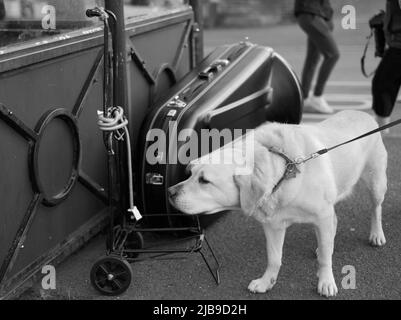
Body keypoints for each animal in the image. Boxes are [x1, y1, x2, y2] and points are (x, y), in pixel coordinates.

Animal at [167, 110, 386, 298]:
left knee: (375, 209)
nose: (169, 192)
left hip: (376, 183)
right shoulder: (273, 225)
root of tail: (363, 113)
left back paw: (376, 235)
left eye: (204, 180)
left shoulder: (322, 214)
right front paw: (266, 282)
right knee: (334, 223)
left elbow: (325, 258)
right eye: (191, 173)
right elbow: (274, 258)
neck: (284, 169)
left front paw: (326, 282)